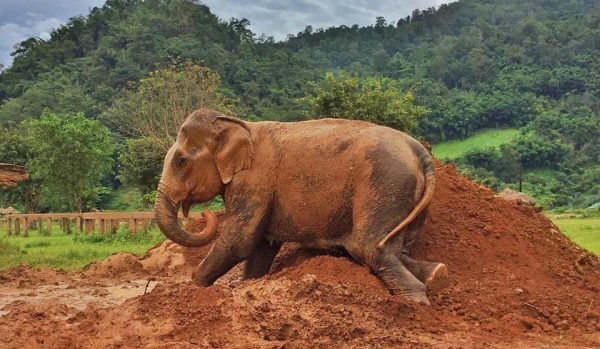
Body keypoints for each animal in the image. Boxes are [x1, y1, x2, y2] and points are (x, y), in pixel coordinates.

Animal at [155, 107, 446, 304]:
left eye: (180, 161)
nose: (202, 213)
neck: (238, 124)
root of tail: (422, 154)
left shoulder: (254, 180)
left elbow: (240, 241)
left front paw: (194, 288)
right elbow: (262, 246)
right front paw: (246, 283)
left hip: (384, 186)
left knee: (370, 248)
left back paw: (415, 302)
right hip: (408, 199)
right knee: (394, 249)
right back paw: (436, 275)